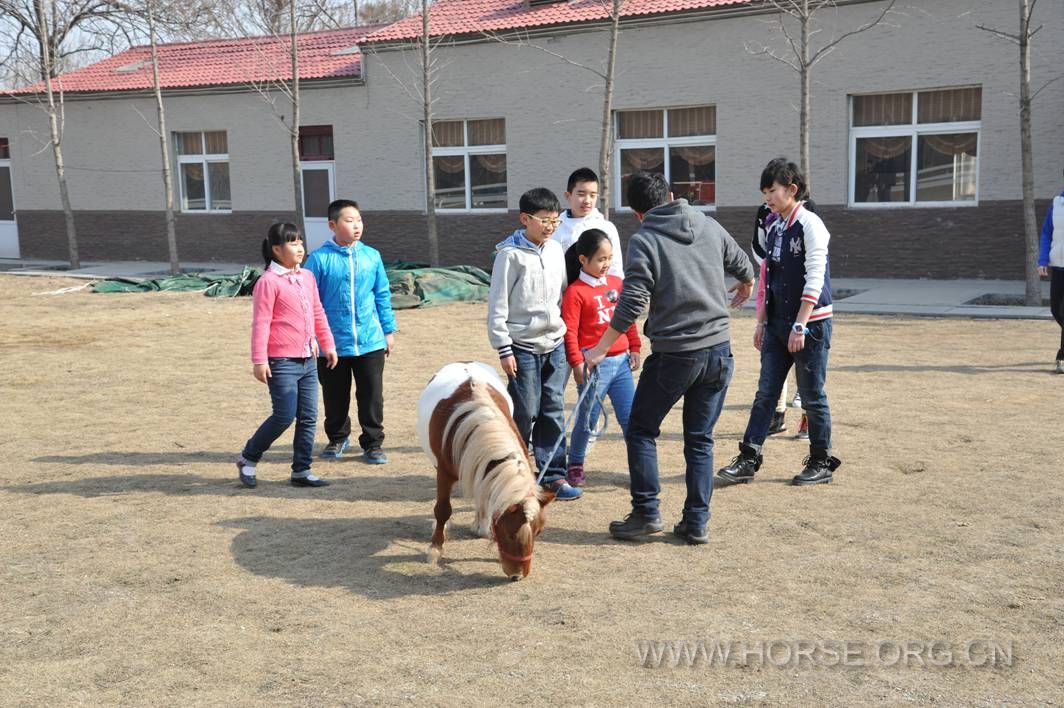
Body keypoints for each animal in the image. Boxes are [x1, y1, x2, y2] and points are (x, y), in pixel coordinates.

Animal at [414, 361, 553, 579]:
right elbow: (442, 510)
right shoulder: (444, 473)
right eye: (509, 533)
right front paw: (435, 548)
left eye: (538, 532)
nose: (518, 575)